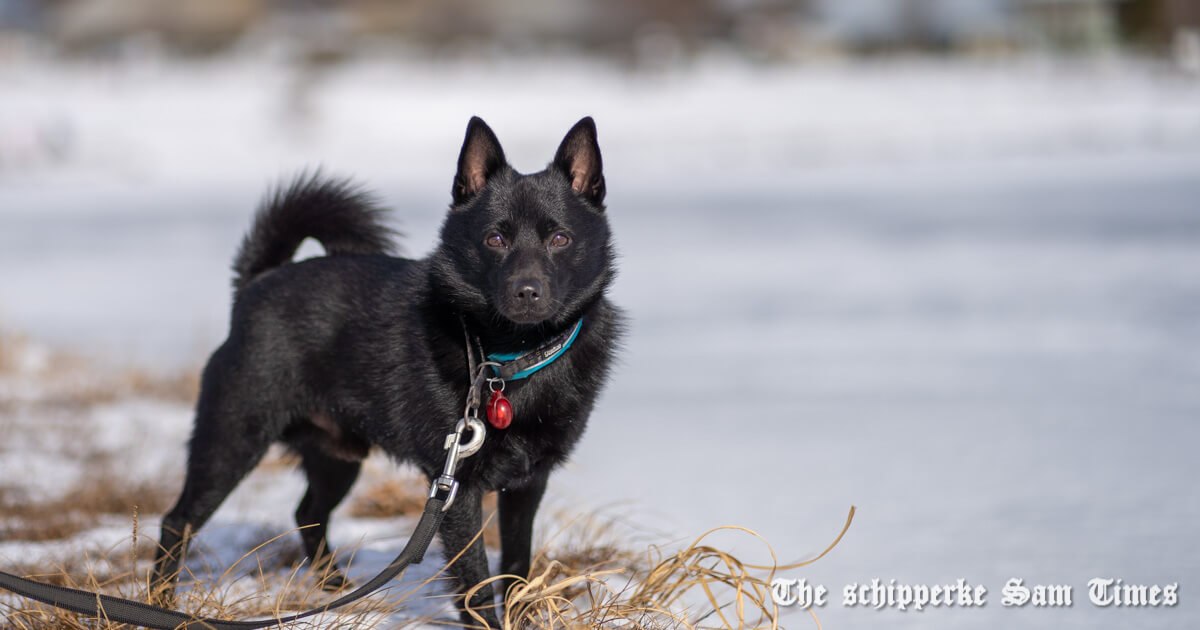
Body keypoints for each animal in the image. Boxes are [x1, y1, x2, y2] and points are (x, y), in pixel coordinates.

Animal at [153, 116, 624, 624]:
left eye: (561, 239)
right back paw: (161, 602)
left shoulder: (528, 485)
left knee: (307, 513)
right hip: (232, 439)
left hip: (337, 456)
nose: (527, 291)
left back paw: (337, 592)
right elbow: (476, 586)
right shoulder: (456, 490)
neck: (508, 358)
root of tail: (256, 282)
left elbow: (517, 571)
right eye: (495, 240)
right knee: (177, 521)